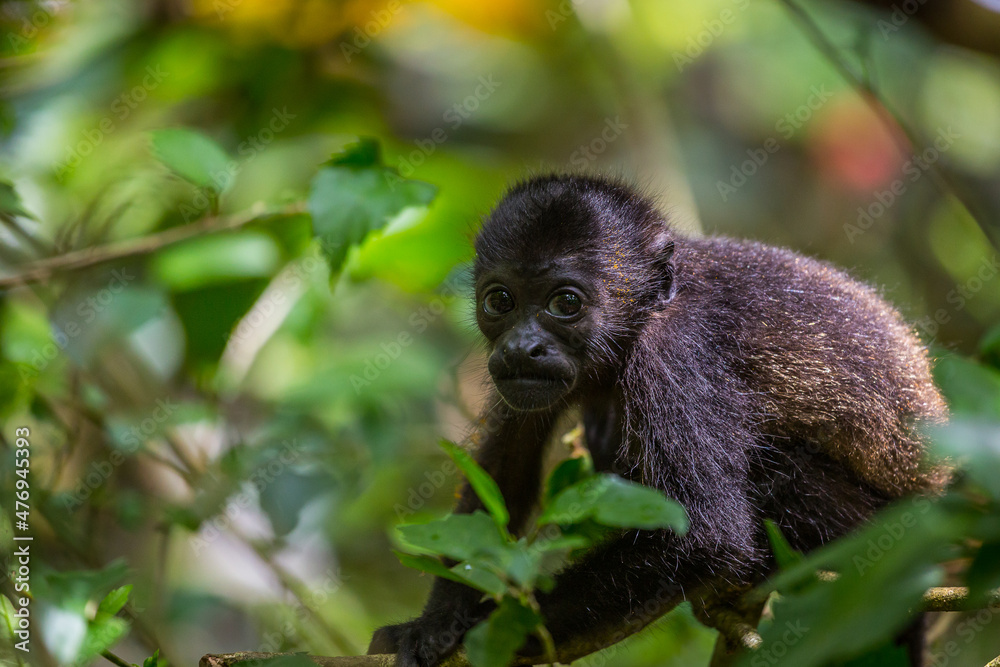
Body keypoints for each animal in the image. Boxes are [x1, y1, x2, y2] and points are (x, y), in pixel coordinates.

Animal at [368, 173, 948, 667]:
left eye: (565, 302)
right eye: (500, 300)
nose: (520, 346)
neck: (647, 311)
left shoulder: (673, 353)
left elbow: (707, 532)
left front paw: (497, 631)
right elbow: (505, 470)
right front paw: (436, 621)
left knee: (777, 471)